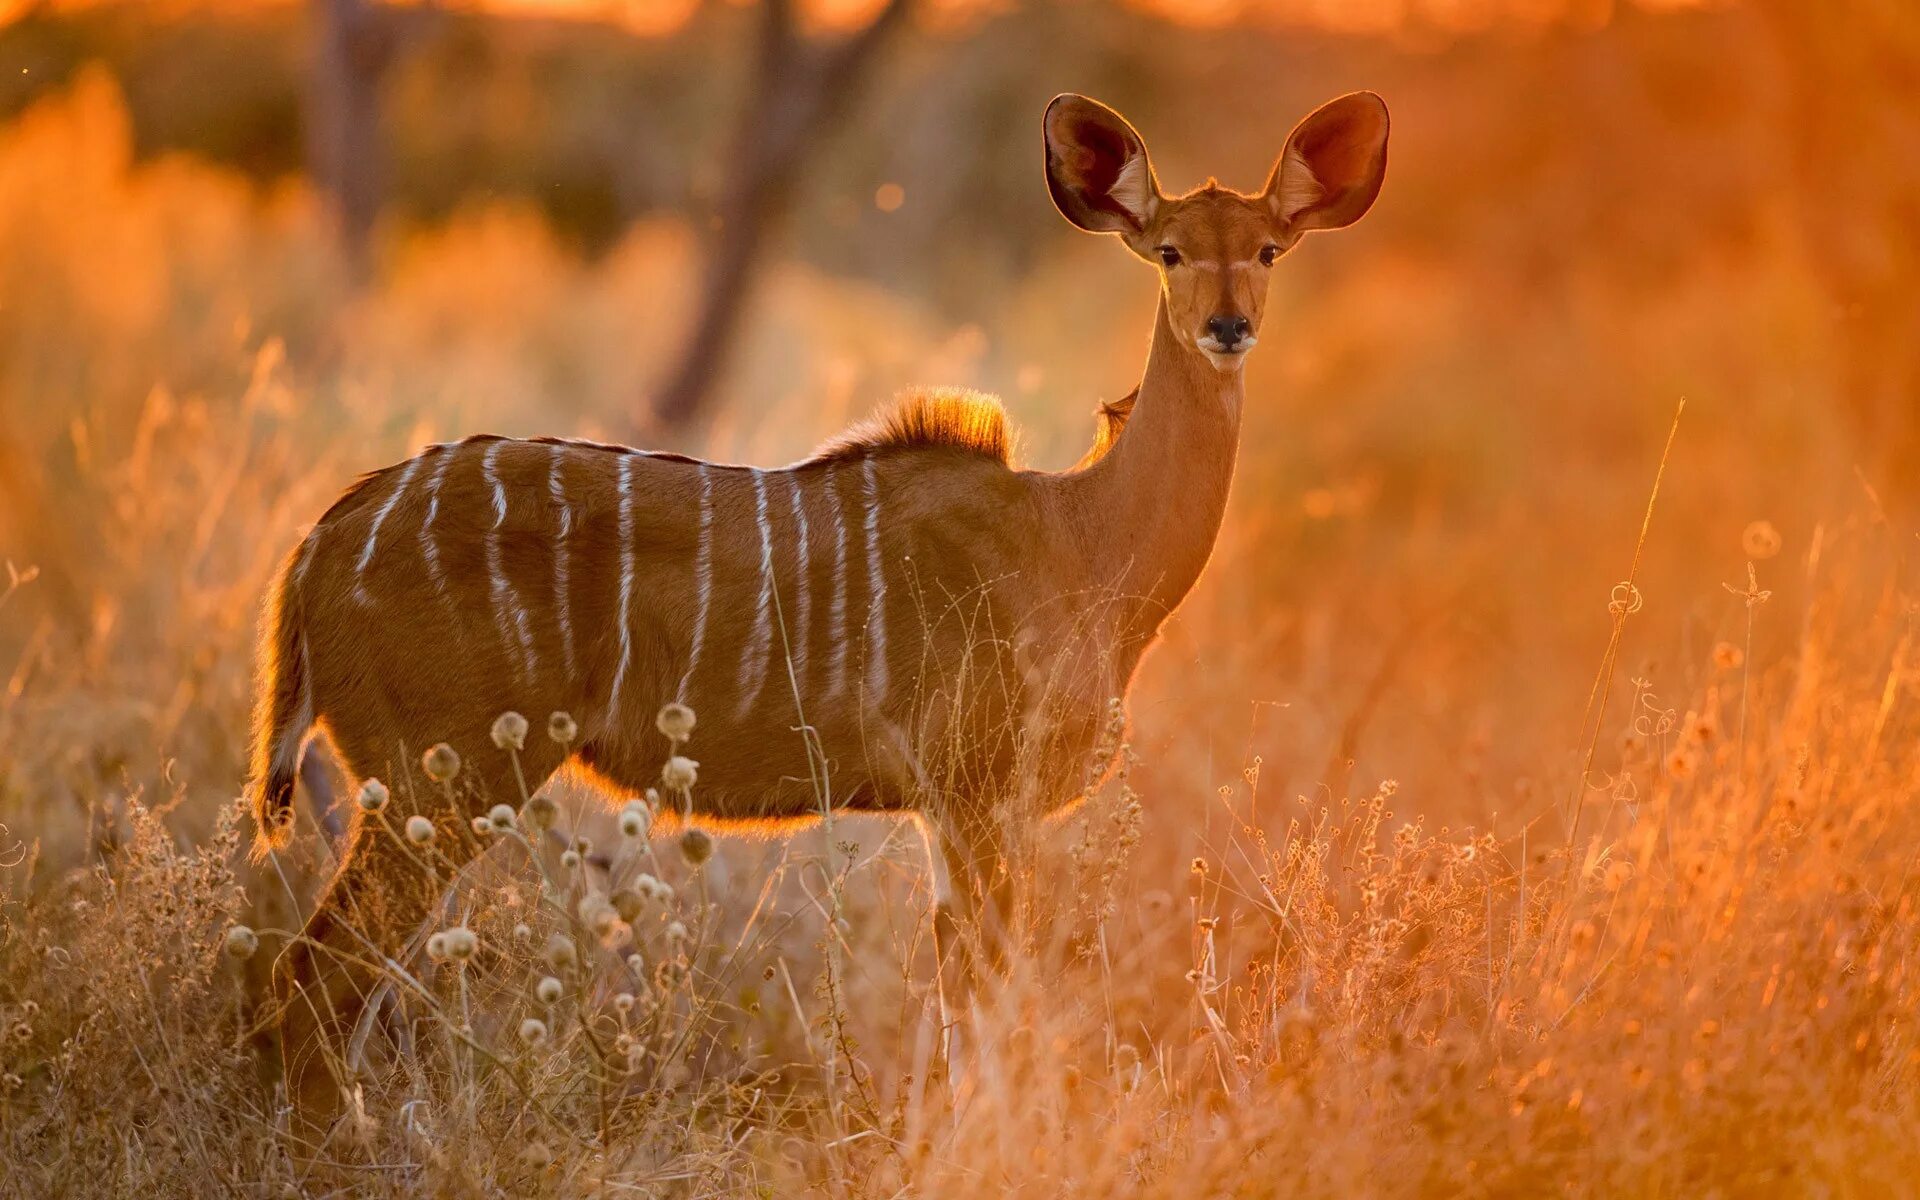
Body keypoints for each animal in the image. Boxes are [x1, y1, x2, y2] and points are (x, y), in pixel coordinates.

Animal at [255, 91, 1390, 1121]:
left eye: (1270, 249)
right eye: (1167, 251)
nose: (1227, 327)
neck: (1079, 536)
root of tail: (319, 545)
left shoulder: (956, 815)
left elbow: (968, 996)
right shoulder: (979, 798)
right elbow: (991, 1003)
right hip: (438, 784)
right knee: (310, 978)